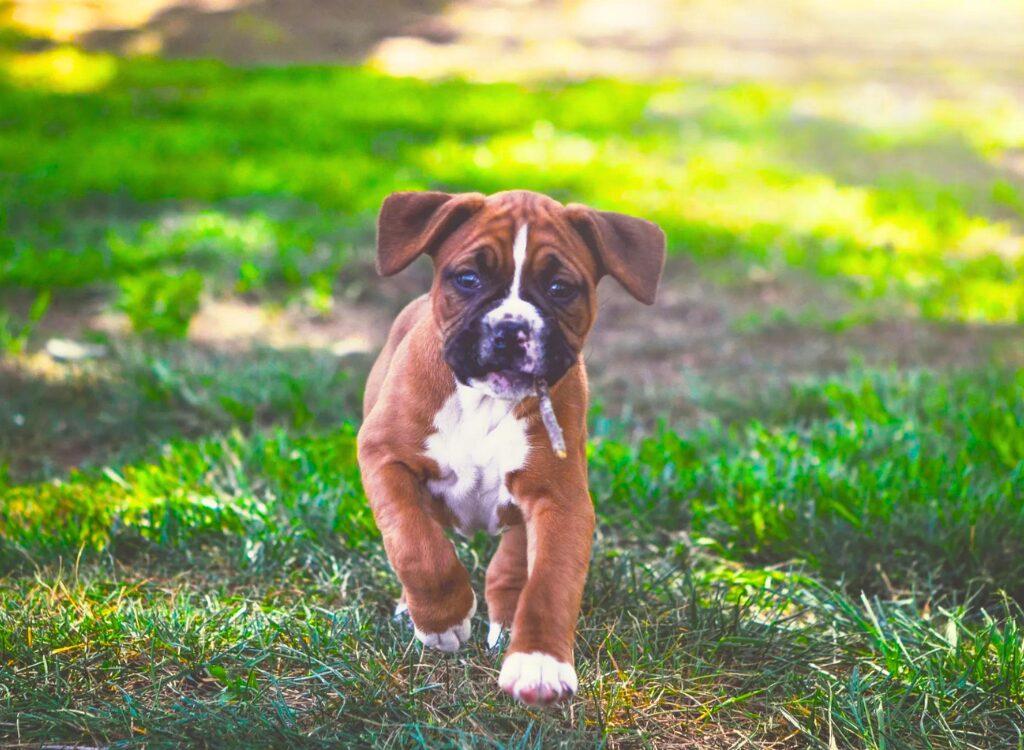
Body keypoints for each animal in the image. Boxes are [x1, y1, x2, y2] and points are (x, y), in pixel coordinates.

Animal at [358, 190, 663, 704]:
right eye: (468, 278)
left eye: (560, 288)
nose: (510, 329)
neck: (485, 401)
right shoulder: (383, 456)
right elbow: (415, 544)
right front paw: (443, 618)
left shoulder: (559, 496)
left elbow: (549, 581)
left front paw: (538, 662)